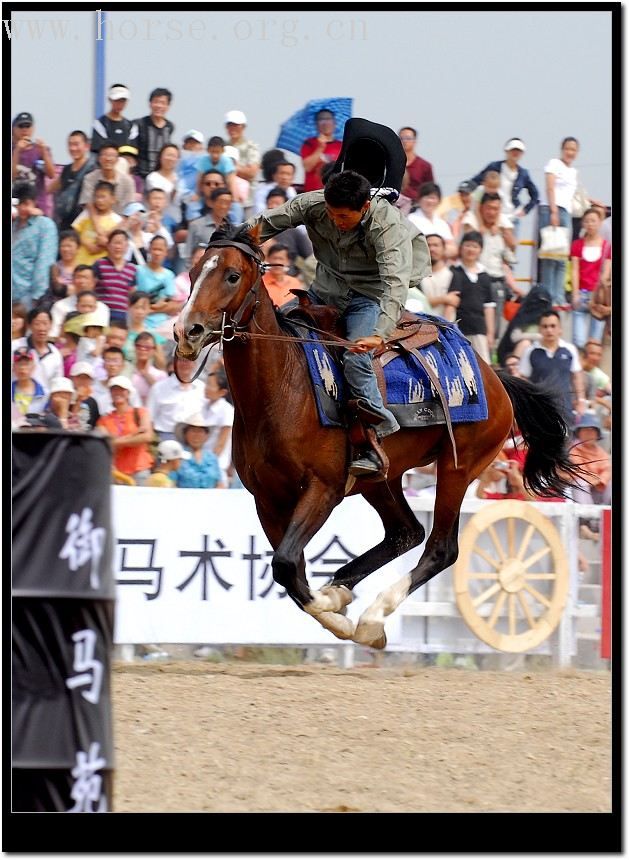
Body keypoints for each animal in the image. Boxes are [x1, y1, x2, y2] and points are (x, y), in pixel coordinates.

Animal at [174, 225, 580, 648]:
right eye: (194, 271)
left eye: (232, 276)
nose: (187, 331)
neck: (283, 387)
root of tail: (494, 376)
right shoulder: (267, 501)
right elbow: (291, 569)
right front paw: (333, 605)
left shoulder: (323, 489)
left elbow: (286, 566)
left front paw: (338, 615)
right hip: (382, 478)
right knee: (406, 532)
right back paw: (343, 590)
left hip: (459, 467)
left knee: (441, 548)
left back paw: (370, 618)